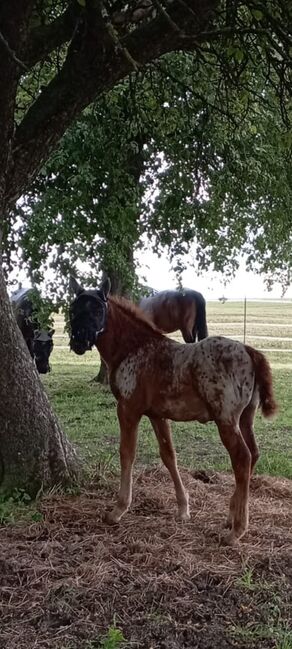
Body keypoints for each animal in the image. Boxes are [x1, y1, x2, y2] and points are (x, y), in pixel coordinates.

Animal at [69, 276, 278, 544]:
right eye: (73, 310)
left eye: (97, 310)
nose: (78, 341)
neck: (135, 348)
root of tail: (250, 352)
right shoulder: (157, 415)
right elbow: (169, 455)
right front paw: (183, 508)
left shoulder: (128, 409)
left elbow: (127, 453)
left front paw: (118, 510)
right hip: (245, 419)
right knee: (254, 453)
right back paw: (230, 517)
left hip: (226, 420)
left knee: (242, 458)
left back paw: (237, 531)